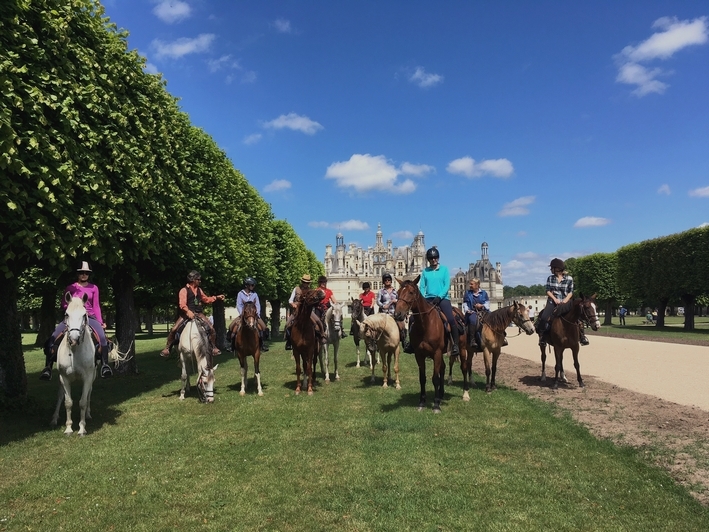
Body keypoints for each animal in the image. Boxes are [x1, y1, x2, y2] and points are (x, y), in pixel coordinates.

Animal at [50, 294, 98, 434]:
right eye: (66, 314)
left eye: (84, 315)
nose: (74, 338)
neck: (75, 351)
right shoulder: (64, 377)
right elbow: (68, 402)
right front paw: (68, 428)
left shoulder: (87, 377)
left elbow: (82, 402)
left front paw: (82, 428)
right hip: (60, 378)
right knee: (60, 395)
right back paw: (54, 418)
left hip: (93, 375)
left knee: (89, 393)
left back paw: (87, 414)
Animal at [392, 276, 464, 414]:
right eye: (397, 293)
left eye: (411, 292)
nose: (397, 315)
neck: (425, 324)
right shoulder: (419, 354)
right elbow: (422, 378)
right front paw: (422, 402)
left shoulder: (436, 353)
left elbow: (435, 378)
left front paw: (435, 405)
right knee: (443, 367)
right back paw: (441, 394)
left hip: (461, 349)